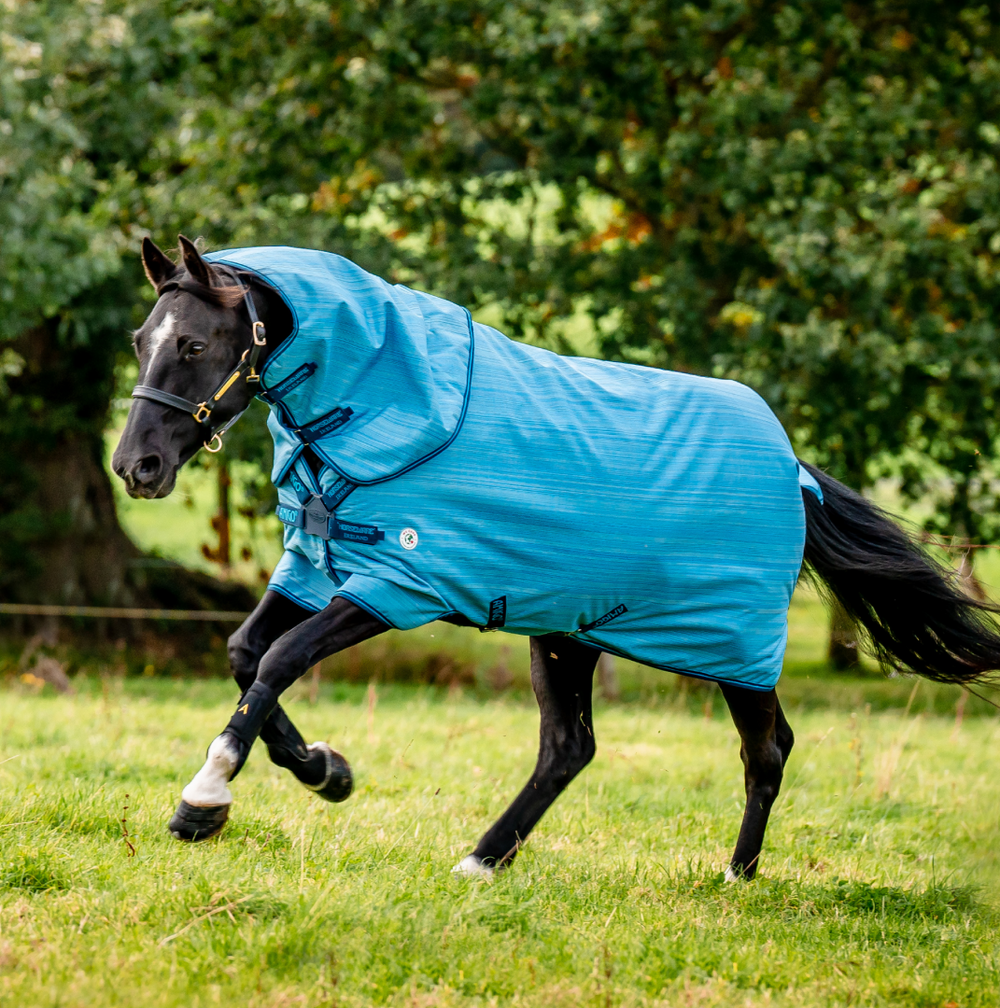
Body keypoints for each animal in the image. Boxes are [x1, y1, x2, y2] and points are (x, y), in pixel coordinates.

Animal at [112, 235, 1000, 880]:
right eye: (140, 339)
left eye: (193, 343)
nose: (136, 466)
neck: (388, 403)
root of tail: (794, 471)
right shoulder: (314, 563)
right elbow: (245, 652)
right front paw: (326, 771)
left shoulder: (401, 583)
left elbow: (280, 659)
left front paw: (205, 800)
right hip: (567, 631)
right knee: (569, 750)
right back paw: (481, 862)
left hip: (735, 647)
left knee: (766, 749)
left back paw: (736, 877)